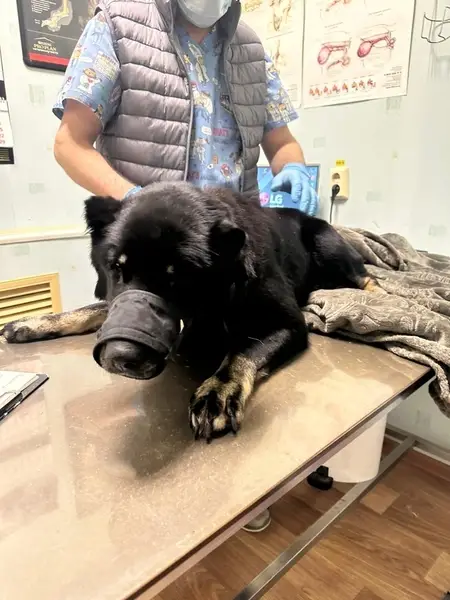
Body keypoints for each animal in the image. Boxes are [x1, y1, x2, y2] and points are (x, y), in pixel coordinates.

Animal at [1, 183, 377, 441]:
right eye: (115, 268)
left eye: (179, 277)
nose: (118, 358)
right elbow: (93, 308)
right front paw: (34, 322)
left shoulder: (288, 324)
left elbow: (242, 351)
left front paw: (218, 391)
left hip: (328, 246)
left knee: (367, 279)